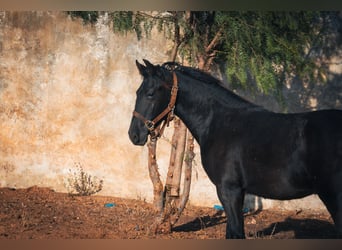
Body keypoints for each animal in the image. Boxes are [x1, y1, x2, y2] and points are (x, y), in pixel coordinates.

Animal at [128, 59, 342, 238]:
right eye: (137, 92)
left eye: (150, 94)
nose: (134, 135)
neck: (219, 122)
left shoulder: (229, 190)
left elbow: (235, 233)